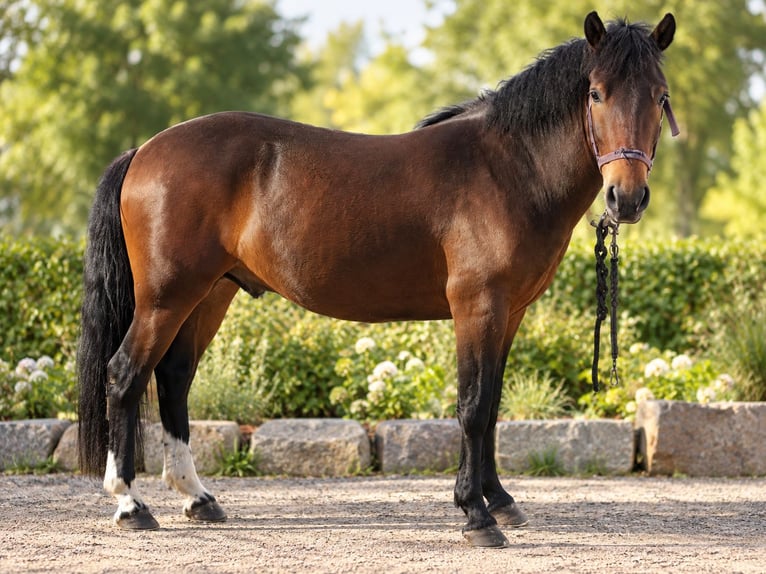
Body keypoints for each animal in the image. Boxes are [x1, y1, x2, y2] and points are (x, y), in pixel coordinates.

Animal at [78, 11, 677, 547]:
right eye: (596, 93)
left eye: (659, 94)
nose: (626, 198)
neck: (507, 168)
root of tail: (145, 150)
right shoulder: (478, 305)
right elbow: (473, 405)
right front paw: (476, 515)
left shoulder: (511, 312)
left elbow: (493, 406)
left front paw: (500, 500)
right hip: (166, 296)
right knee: (125, 375)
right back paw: (130, 504)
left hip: (210, 293)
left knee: (174, 377)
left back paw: (198, 498)